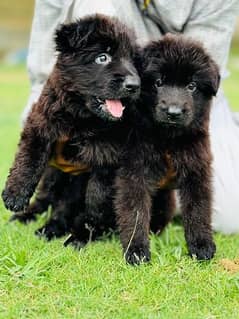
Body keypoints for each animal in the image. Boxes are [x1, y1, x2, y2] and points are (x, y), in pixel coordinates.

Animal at [1, 14, 140, 245]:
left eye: (132, 60)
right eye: (102, 57)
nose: (134, 85)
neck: (81, 118)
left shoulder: (108, 152)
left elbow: (96, 193)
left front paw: (89, 224)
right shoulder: (40, 122)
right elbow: (28, 157)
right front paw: (15, 195)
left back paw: (60, 231)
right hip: (52, 174)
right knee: (45, 198)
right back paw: (25, 217)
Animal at [114, 33, 220, 266]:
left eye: (192, 86)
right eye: (158, 82)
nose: (173, 112)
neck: (168, 140)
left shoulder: (197, 167)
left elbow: (198, 209)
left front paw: (201, 246)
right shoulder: (135, 171)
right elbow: (135, 211)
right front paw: (136, 250)